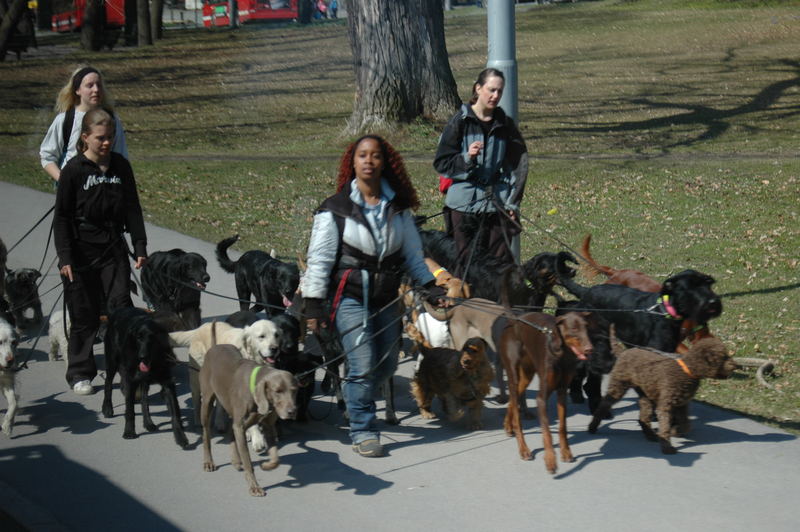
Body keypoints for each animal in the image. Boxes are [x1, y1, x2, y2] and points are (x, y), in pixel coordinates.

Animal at [101, 306, 189, 446]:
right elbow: (130, 410)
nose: (142, 356)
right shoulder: (130, 381)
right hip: (112, 361)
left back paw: (148, 422)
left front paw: (180, 436)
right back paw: (107, 408)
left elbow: (175, 412)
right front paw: (129, 432)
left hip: (143, 380)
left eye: (152, 337)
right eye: (138, 337)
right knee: (108, 384)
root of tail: (119, 309)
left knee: (144, 399)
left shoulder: (167, 383)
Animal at [169, 318, 282, 450]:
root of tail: (200, 327)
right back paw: (198, 421)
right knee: (196, 399)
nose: (275, 348)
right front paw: (257, 439)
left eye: (276, 335)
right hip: (196, 376)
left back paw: (220, 423)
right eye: (261, 336)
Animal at [200, 342, 300, 496]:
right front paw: (254, 486)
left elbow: (275, 458)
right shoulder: (241, 426)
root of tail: (216, 345)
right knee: (206, 434)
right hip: (207, 402)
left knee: (230, 430)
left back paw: (235, 461)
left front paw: (267, 465)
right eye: (277, 391)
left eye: (294, 390)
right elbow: (247, 460)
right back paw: (208, 462)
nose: (292, 412)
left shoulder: (267, 424)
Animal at [496, 312, 592, 474]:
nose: (590, 349)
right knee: (517, 414)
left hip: (527, 375)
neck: (562, 355)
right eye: (574, 328)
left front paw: (566, 452)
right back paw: (523, 448)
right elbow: (547, 432)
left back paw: (507, 425)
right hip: (513, 373)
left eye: (587, 327)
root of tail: (513, 319)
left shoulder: (562, 392)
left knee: (513, 400)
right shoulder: (541, 397)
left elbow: (562, 427)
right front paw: (550, 460)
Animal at [588, 338, 736, 456]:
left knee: (643, 417)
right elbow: (665, 426)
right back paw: (593, 426)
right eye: (723, 357)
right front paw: (667, 447)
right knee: (604, 405)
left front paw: (676, 431)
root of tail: (624, 351)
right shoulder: (666, 405)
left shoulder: (681, 404)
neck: (687, 370)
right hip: (619, 385)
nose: (736, 366)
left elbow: (686, 424)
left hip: (646, 394)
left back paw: (650, 435)